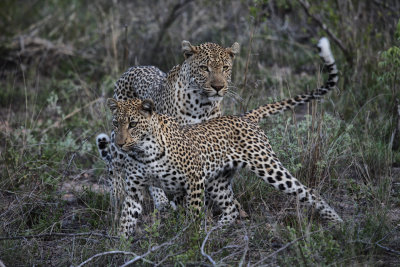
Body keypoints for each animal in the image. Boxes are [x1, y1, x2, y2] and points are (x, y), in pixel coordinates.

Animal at [104, 91, 342, 238]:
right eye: (115, 123)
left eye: (133, 124)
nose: (119, 143)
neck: (143, 152)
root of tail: (245, 116)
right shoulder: (134, 190)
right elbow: (126, 219)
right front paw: (120, 247)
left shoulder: (194, 180)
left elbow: (194, 214)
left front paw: (191, 240)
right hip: (217, 182)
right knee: (231, 208)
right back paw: (215, 231)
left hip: (268, 167)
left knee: (308, 191)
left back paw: (338, 223)